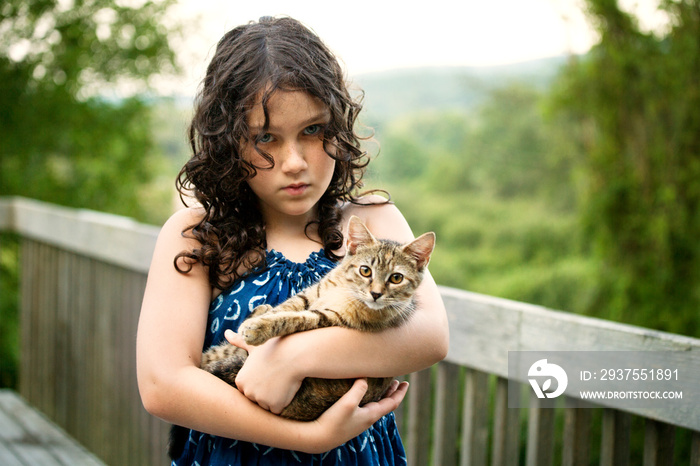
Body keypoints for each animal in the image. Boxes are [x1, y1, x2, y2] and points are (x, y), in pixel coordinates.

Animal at [167, 217, 434, 460]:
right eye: (365, 270)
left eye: (396, 278)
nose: (376, 294)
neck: (346, 291)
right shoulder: (311, 294)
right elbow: (288, 305)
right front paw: (262, 315)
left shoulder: (329, 319)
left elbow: (292, 319)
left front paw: (259, 327)